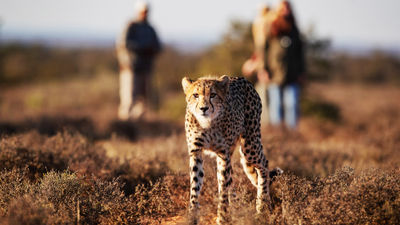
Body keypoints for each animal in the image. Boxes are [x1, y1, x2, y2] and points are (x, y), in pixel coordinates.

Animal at [182, 75, 282, 223]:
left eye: (213, 95)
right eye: (195, 95)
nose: (203, 108)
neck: (207, 123)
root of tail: (242, 79)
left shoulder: (223, 154)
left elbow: (223, 186)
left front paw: (223, 217)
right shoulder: (196, 153)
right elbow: (195, 186)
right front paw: (193, 216)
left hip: (250, 145)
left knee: (263, 164)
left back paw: (262, 206)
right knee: (232, 178)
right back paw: (236, 206)